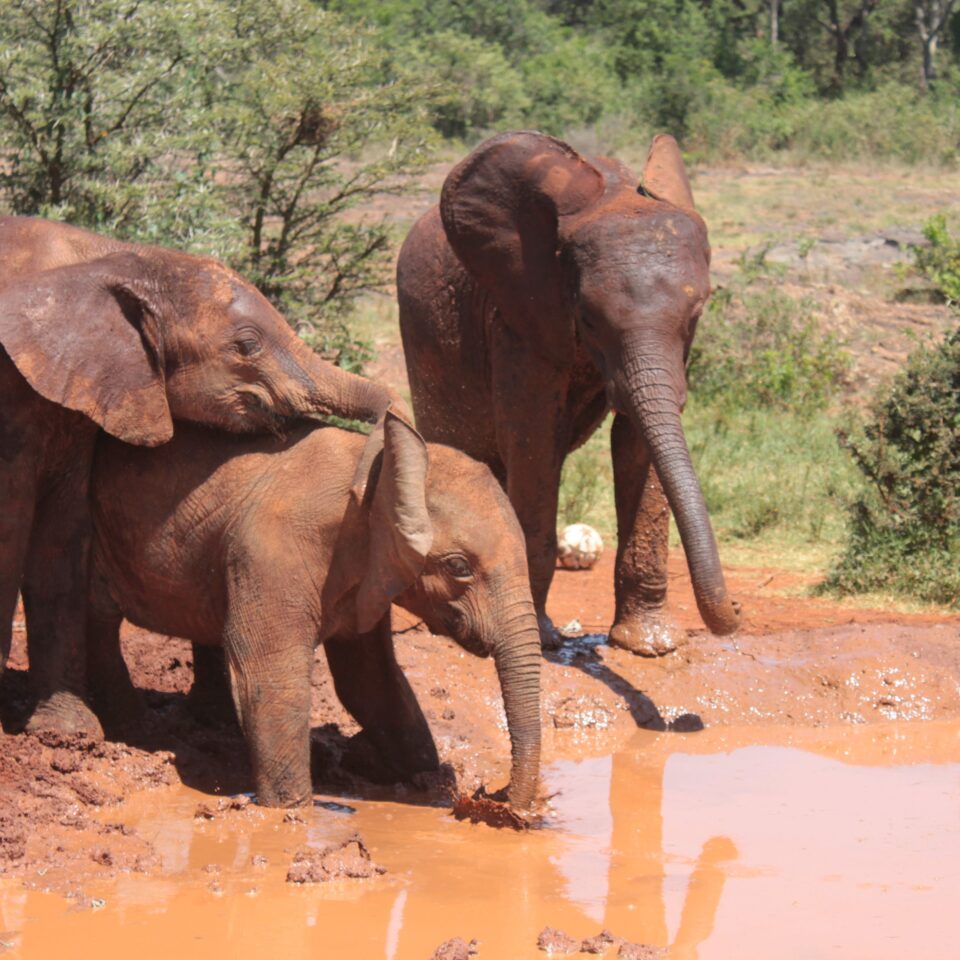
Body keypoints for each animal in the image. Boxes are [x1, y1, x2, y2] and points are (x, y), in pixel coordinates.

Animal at [85, 407, 542, 809]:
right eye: (458, 567)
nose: (494, 799)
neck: (369, 462)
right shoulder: (272, 553)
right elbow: (269, 675)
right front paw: (290, 813)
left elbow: (371, 680)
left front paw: (389, 768)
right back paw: (130, 730)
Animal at [397, 131, 740, 655]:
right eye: (590, 319)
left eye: (697, 315)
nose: (734, 614)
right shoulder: (520, 316)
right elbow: (535, 441)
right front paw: (542, 641)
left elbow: (639, 440)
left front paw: (651, 645)